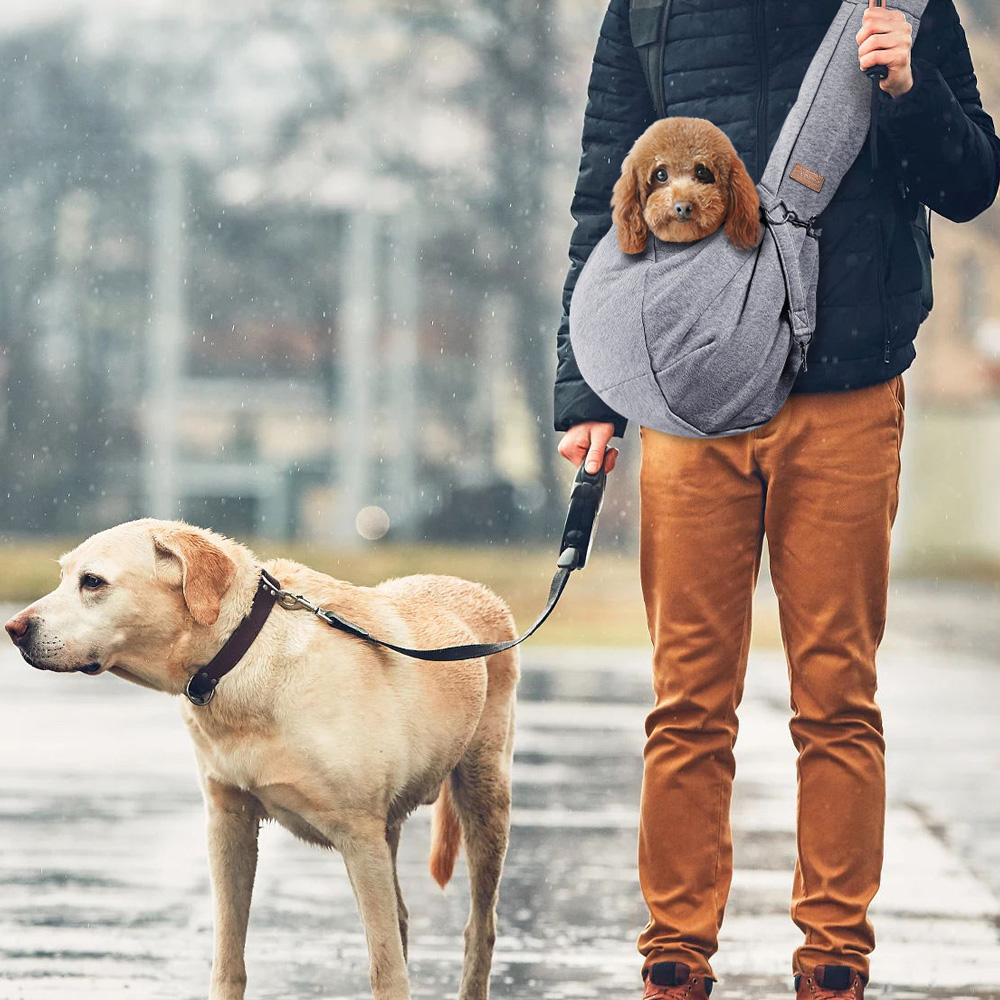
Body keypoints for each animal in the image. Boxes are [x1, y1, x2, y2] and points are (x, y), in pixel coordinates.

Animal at [7, 520, 520, 1000]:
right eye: (63, 576)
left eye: (92, 582)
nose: (13, 630)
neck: (242, 655)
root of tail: (476, 588)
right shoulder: (229, 822)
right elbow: (228, 958)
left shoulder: (359, 837)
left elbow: (386, 970)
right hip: (391, 830)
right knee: (404, 917)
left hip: (483, 799)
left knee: (479, 929)